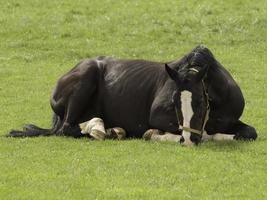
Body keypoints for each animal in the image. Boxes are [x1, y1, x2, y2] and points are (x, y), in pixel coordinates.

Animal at [9, 45, 258, 145]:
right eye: (174, 102)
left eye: (201, 102)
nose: (188, 142)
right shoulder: (158, 115)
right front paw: (155, 134)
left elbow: (249, 133)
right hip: (86, 77)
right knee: (67, 129)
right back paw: (101, 130)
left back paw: (112, 130)